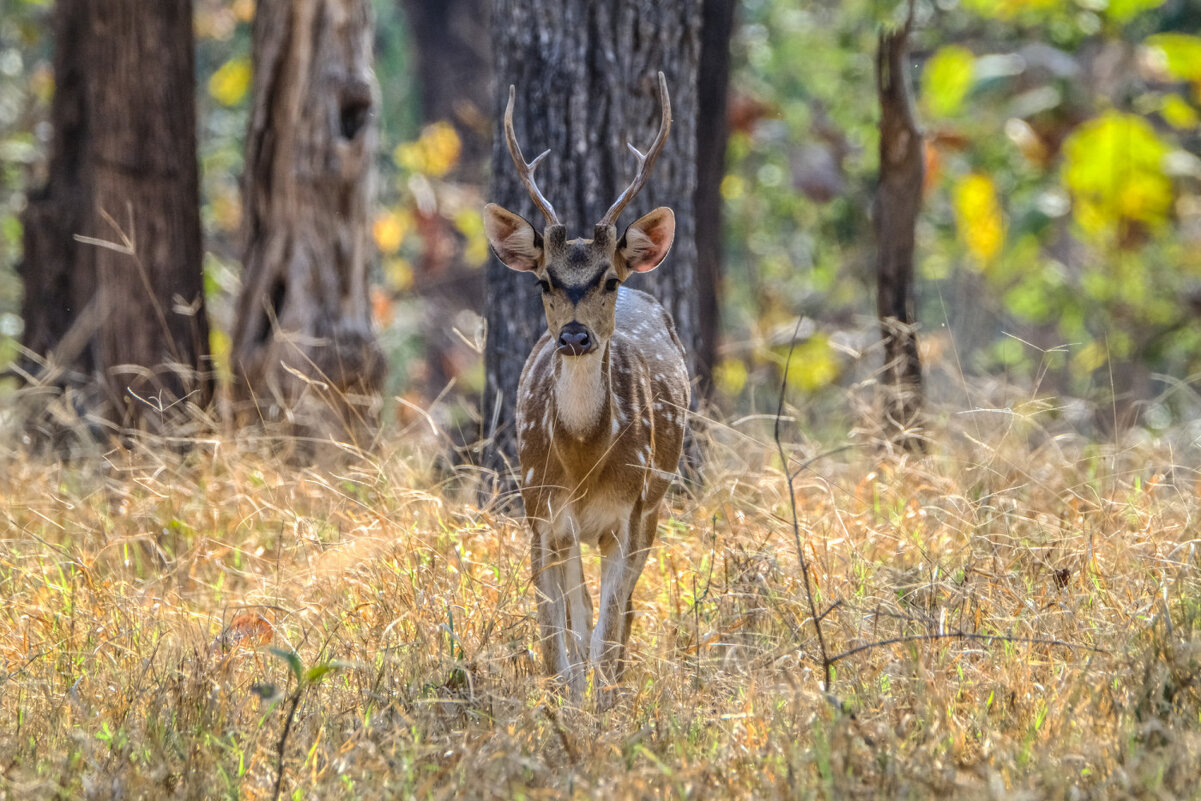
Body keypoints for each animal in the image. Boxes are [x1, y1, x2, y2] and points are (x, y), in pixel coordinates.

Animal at [482, 75, 691, 701]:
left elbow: (603, 626)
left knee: (625, 609)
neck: (580, 460)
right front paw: (566, 702)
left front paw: (601, 704)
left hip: (656, 498)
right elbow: (561, 636)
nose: (574, 335)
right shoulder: (540, 510)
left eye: (609, 279)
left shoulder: (629, 510)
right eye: (545, 282)